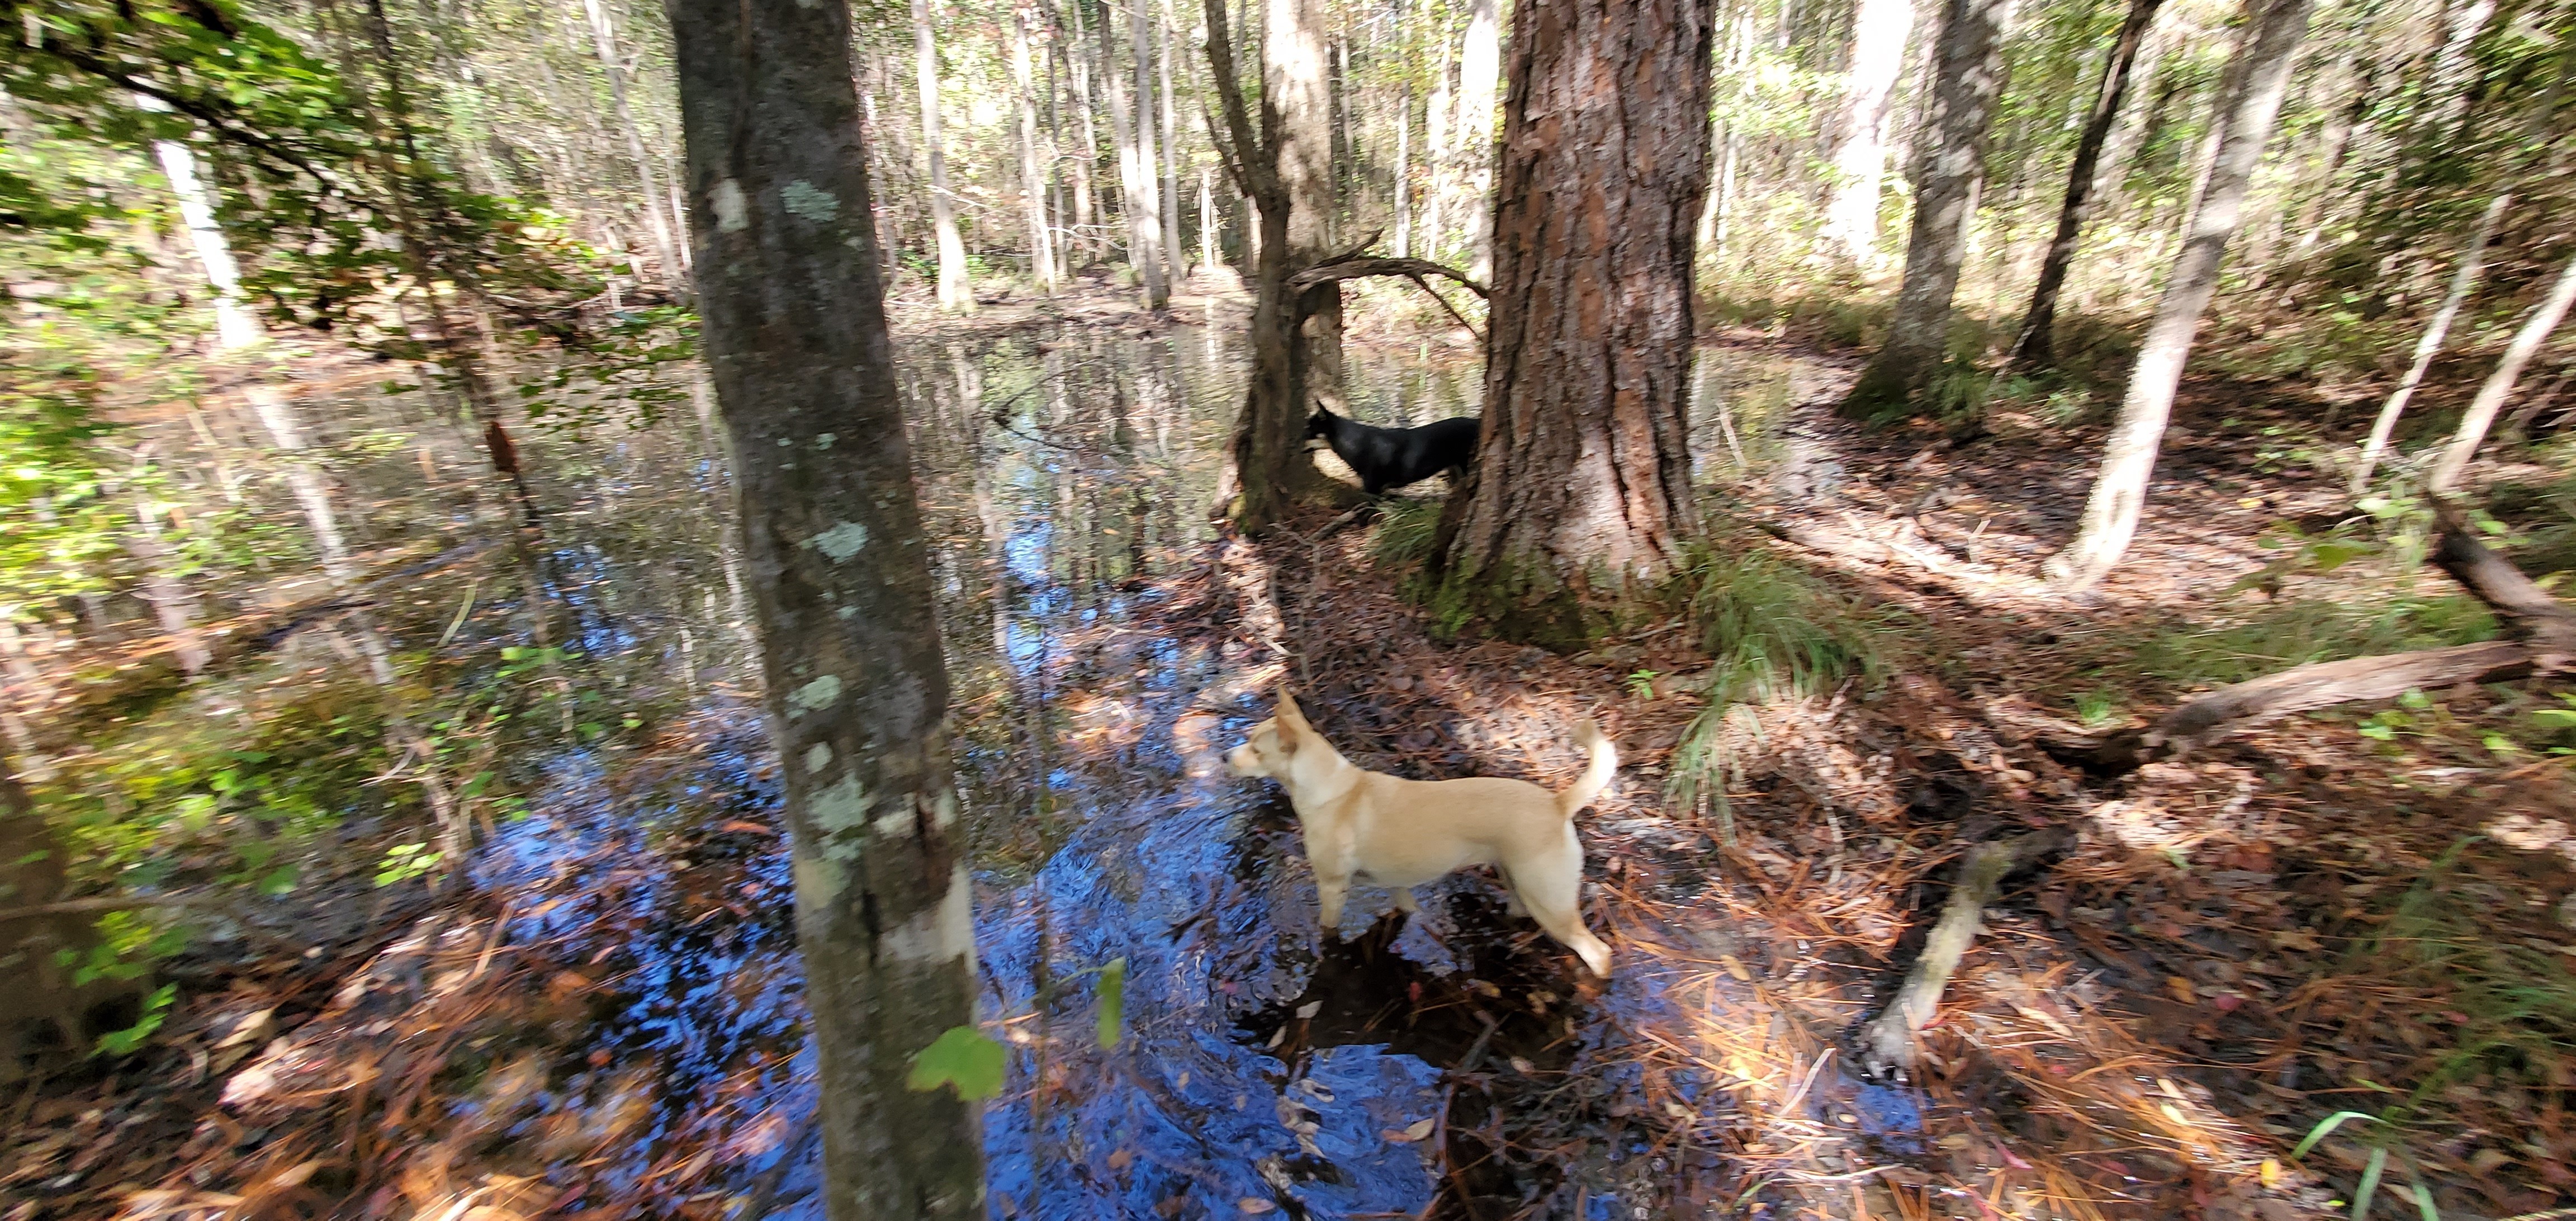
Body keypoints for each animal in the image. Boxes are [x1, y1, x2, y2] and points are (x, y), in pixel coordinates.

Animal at [1221, 690, 1607, 978]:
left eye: (1256, 749)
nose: (1225, 757)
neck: (1330, 788)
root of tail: (1558, 803)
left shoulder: (1331, 887)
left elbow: (1328, 928)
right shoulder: (1396, 884)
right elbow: (1408, 907)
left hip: (1550, 901)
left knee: (1599, 953)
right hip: (1516, 883)